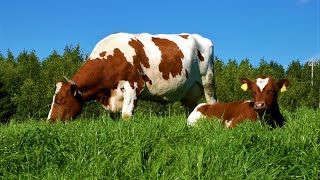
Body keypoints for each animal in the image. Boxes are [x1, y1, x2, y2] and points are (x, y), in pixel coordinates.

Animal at [47, 32, 218, 122]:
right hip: (189, 92)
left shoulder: (133, 84)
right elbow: (114, 117)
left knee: (212, 102)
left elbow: (126, 115)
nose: (49, 122)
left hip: (208, 80)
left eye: (60, 100)